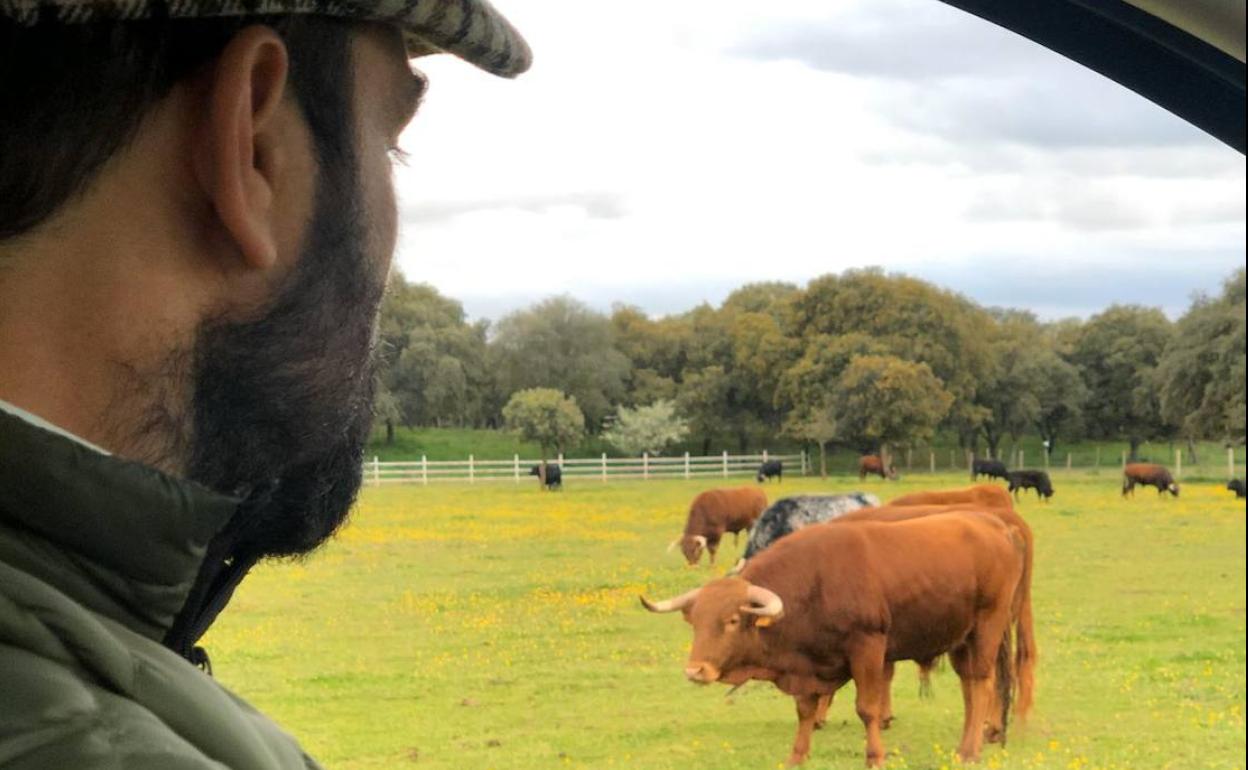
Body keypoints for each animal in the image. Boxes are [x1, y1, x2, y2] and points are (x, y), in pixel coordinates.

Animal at [643, 511, 1023, 763]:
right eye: (696, 622)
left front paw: (875, 757)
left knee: (981, 683)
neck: (815, 582)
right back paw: (964, 745)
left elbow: (868, 709)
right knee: (969, 688)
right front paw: (797, 757)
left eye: (733, 620)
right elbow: (805, 711)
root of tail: (992, 524)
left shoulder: (868, 650)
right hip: (960, 638)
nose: (695, 671)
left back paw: (970, 751)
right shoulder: (807, 665)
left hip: (986, 628)